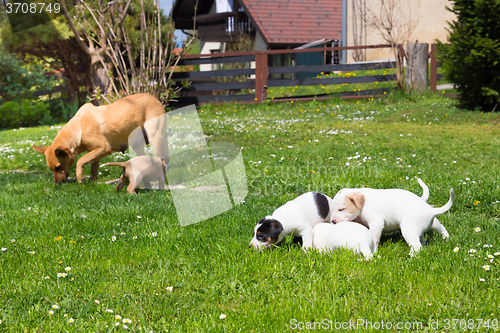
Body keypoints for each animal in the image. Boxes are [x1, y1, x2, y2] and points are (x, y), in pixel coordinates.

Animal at [32, 92, 168, 183]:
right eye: (51, 169)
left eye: (58, 167)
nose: (57, 184)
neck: (79, 127)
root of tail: (154, 98)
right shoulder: (96, 151)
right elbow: (93, 165)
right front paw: (92, 181)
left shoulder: (104, 148)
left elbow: (81, 160)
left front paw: (80, 177)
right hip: (137, 144)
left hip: (155, 137)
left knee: (161, 160)